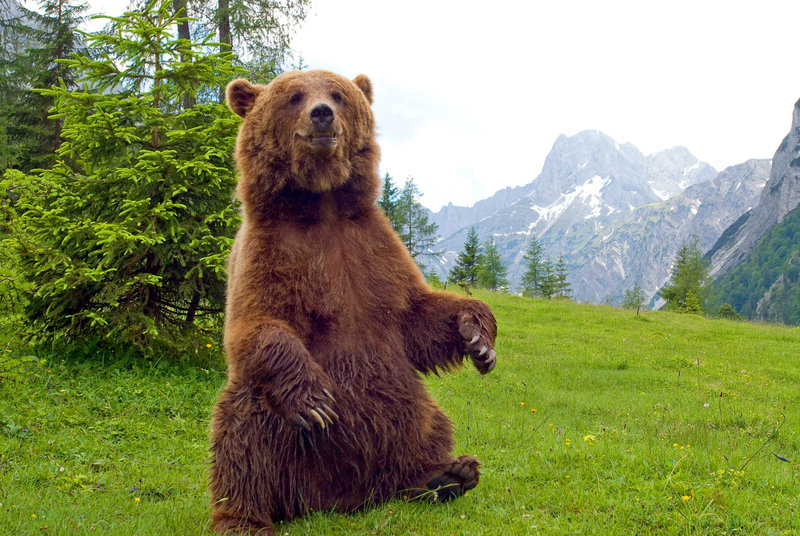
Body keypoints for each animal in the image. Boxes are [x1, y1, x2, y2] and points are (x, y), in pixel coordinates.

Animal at [209, 69, 498, 535]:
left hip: (405, 406)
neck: (322, 205)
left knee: (429, 425)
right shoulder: (269, 252)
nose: (322, 113)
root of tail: (340, 499)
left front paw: (478, 338)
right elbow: (255, 325)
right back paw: (243, 519)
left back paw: (444, 474)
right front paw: (315, 401)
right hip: (278, 432)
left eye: (337, 94)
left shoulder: (374, 248)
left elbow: (416, 318)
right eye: (294, 96)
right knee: (242, 435)